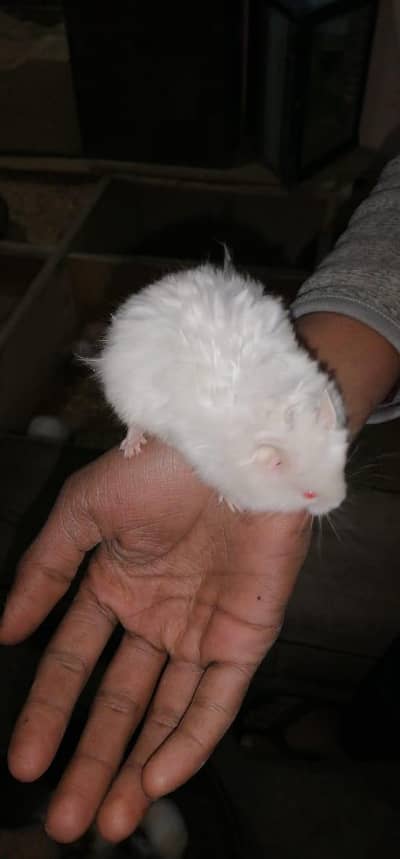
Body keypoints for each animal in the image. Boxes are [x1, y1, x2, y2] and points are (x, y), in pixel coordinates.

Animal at [94, 263, 348, 515]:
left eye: (341, 470)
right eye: (309, 494)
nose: (338, 503)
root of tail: (143, 295)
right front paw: (234, 505)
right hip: (126, 394)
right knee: (133, 423)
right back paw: (131, 448)